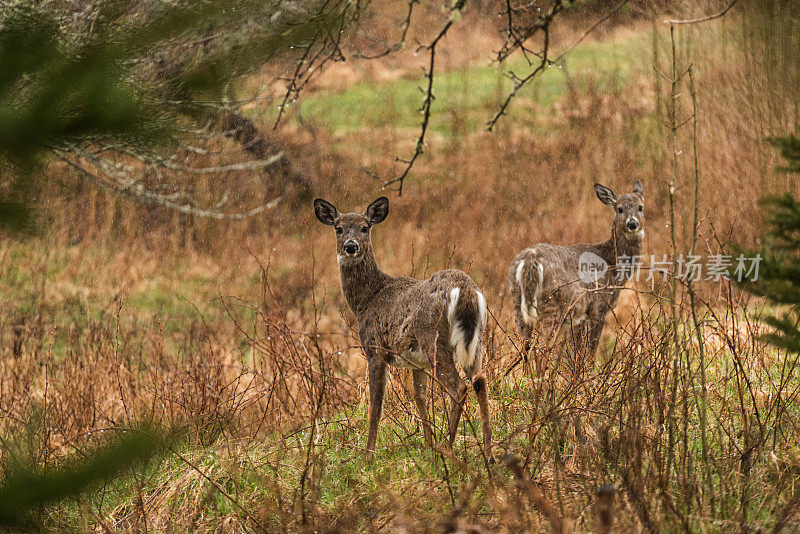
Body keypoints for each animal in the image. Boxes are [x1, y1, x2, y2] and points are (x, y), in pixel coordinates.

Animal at [314, 199, 494, 462]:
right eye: (339, 228)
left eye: (365, 227)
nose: (350, 246)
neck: (366, 299)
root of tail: (465, 289)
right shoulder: (416, 362)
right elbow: (420, 398)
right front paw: (428, 445)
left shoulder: (375, 349)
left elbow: (376, 405)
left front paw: (368, 457)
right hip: (477, 338)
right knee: (480, 380)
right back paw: (488, 452)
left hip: (434, 338)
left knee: (458, 386)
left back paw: (447, 447)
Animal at [510, 182, 648, 362]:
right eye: (619, 209)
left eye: (640, 207)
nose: (632, 224)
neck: (612, 265)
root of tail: (529, 261)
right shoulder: (598, 306)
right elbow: (590, 353)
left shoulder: (580, 317)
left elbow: (578, 351)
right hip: (553, 304)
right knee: (542, 349)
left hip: (518, 305)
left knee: (525, 349)